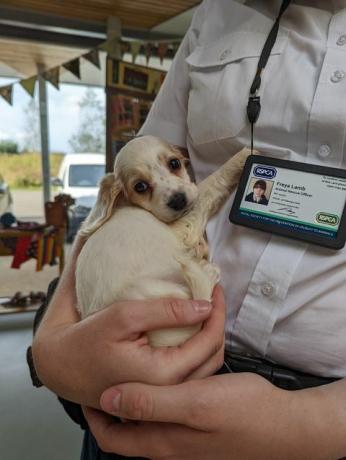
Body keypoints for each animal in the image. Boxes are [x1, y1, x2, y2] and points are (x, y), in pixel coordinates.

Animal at [75, 135, 250, 346]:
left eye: (174, 163)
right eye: (140, 186)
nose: (178, 200)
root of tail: (161, 339)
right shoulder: (184, 227)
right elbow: (209, 185)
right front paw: (243, 156)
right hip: (158, 289)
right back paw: (207, 270)